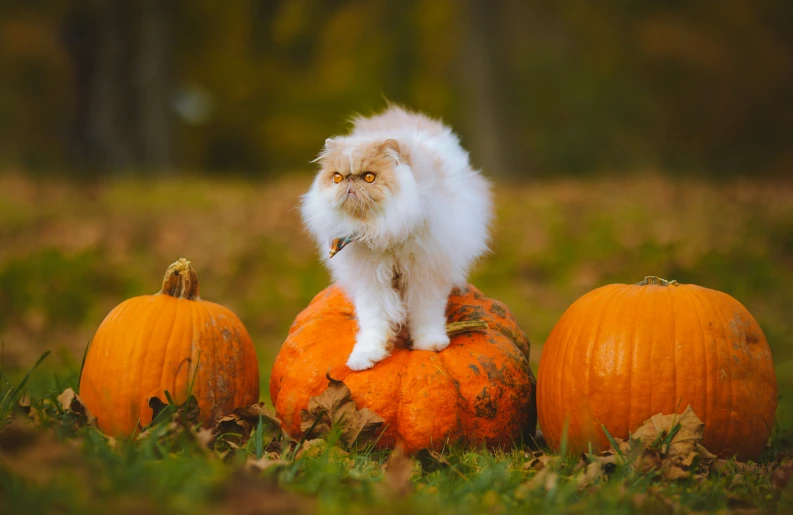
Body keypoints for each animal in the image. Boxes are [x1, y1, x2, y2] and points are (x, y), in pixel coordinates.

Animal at [302, 106, 492, 370]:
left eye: (369, 177)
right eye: (337, 178)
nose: (349, 182)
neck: (382, 233)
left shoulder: (425, 276)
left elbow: (426, 315)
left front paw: (430, 344)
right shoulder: (370, 283)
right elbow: (374, 323)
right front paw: (365, 358)